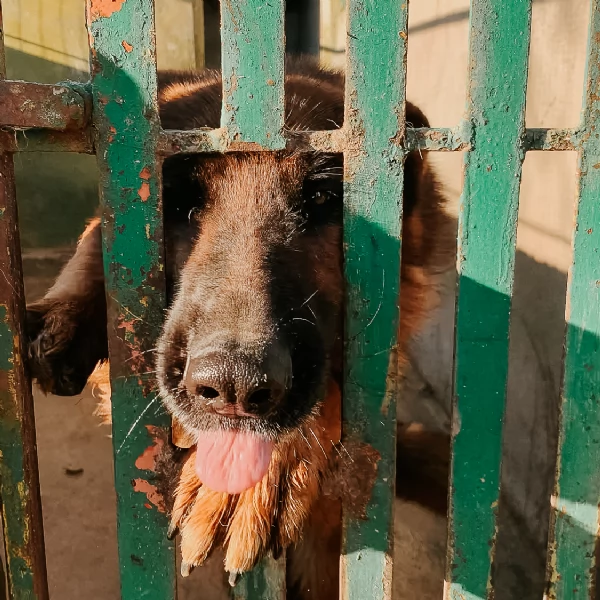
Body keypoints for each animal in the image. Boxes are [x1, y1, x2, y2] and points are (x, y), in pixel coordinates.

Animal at [27, 58, 450, 596]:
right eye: (178, 204)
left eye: (321, 197)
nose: (234, 385)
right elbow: (93, 239)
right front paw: (67, 313)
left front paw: (256, 477)